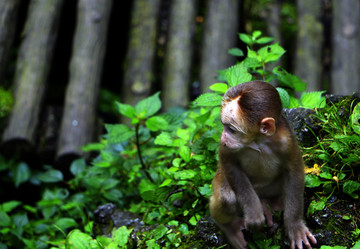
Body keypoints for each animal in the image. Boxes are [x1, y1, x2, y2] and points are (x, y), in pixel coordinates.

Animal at [210, 80, 316, 249]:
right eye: (223, 126)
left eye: (231, 129)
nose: (223, 138)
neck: (257, 141)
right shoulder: (227, 150)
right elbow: (229, 162)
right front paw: (254, 215)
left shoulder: (286, 140)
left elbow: (294, 170)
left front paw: (294, 226)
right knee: (227, 199)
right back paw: (230, 226)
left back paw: (271, 203)